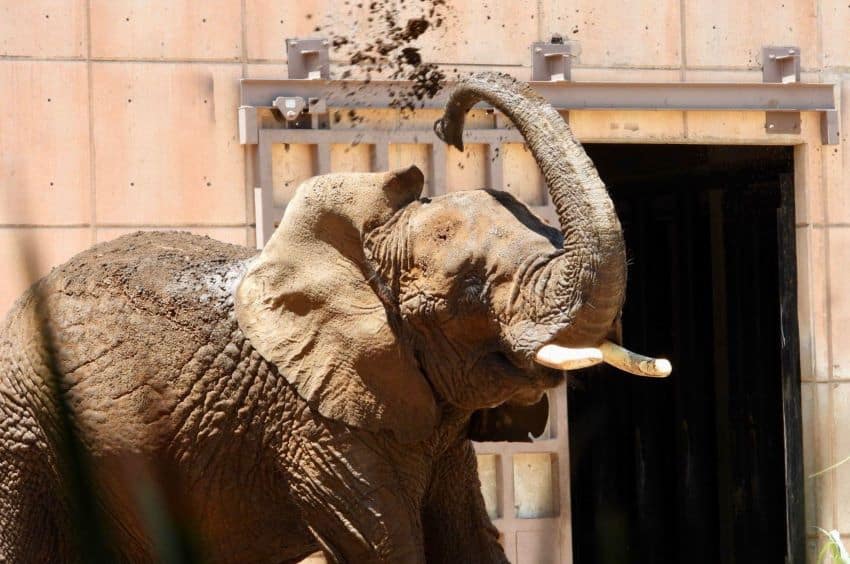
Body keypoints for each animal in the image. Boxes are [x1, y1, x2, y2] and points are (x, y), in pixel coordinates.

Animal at [0, 73, 669, 563]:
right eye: (472, 287)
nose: (448, 127)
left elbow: (469, 540)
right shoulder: (310, 423)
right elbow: (385, 546)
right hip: (22, 432)